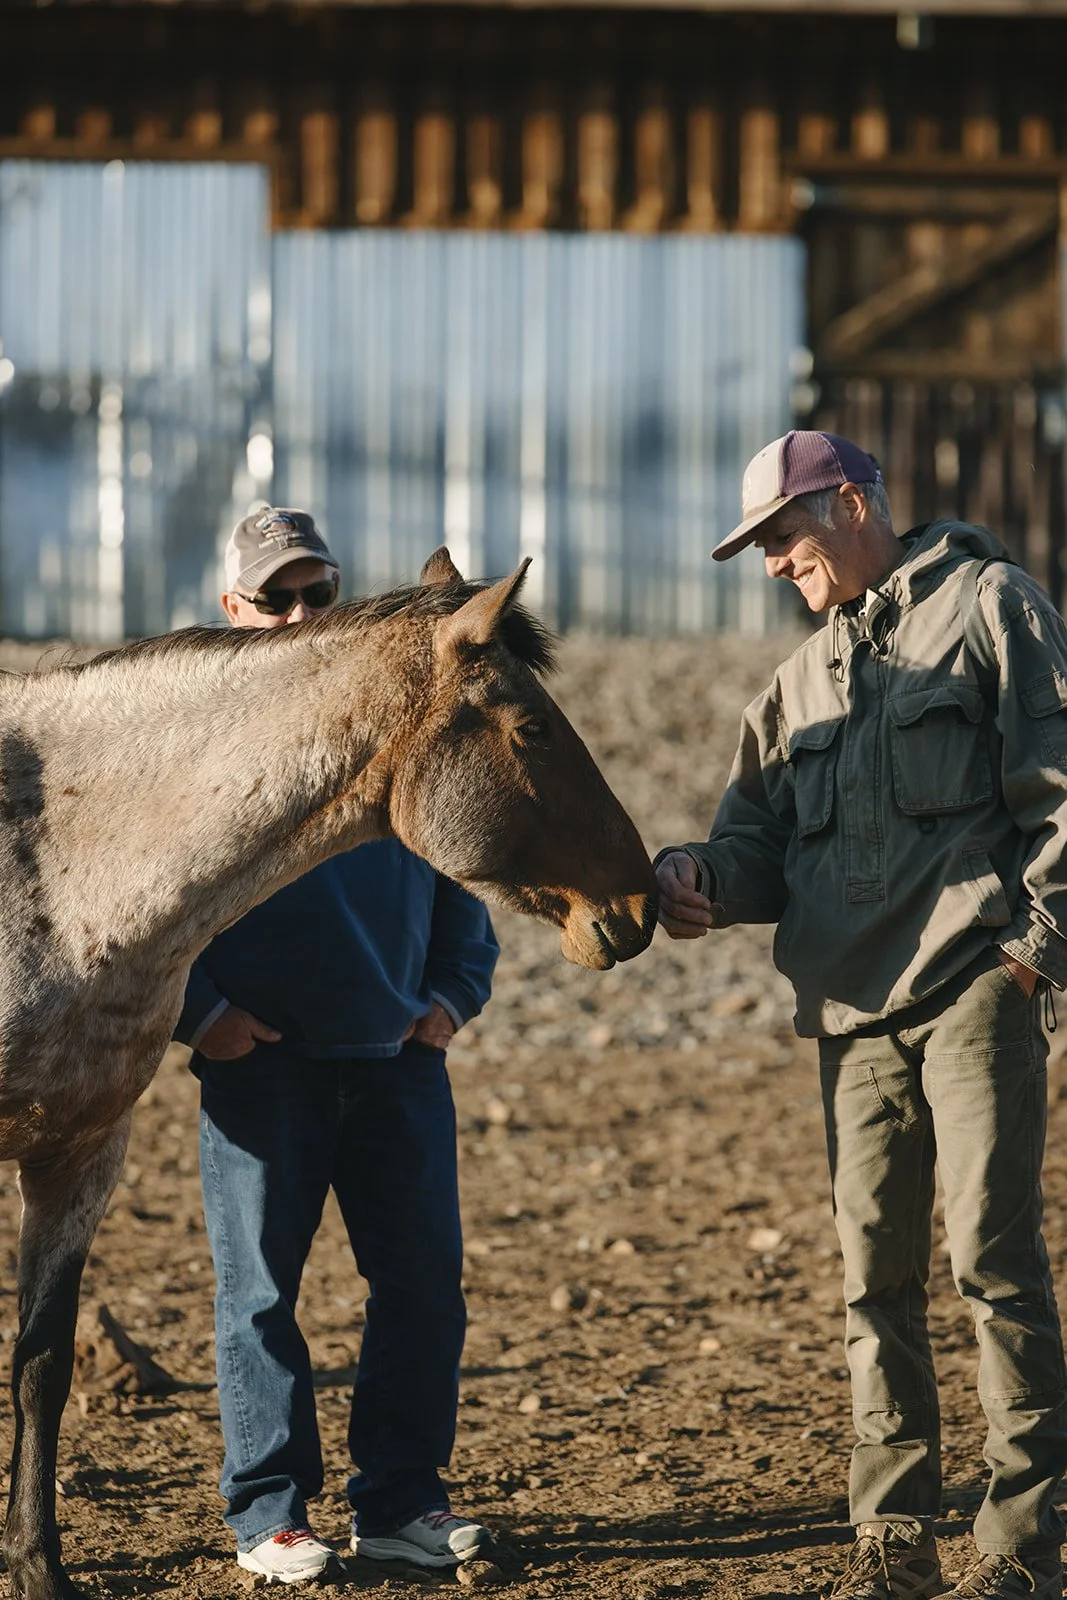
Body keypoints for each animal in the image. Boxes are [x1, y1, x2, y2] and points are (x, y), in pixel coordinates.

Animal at [0, 548, 657, 1600]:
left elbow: (42, 1365)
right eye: (532, 729)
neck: (54, 863)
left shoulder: (82, 1152)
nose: (638, 907)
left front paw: (37, 1566)